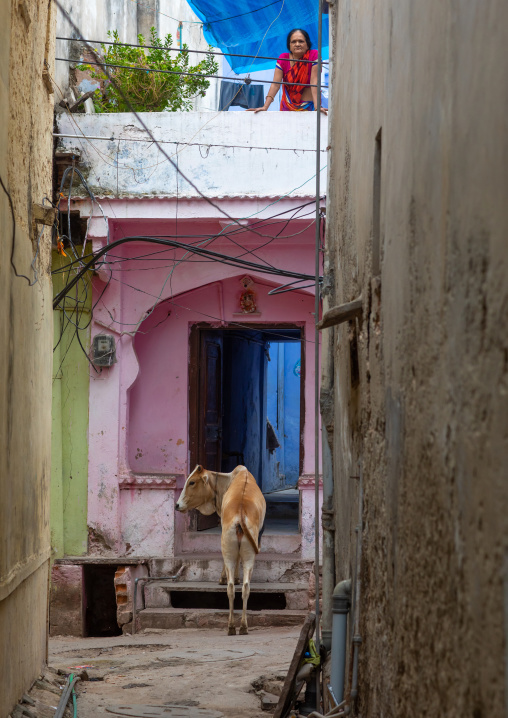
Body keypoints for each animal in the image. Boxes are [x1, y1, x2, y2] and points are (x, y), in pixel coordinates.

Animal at [175, 464, 266, 635]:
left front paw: (226, 578)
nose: (177, 505)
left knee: (236, 587)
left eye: (192, 482)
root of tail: (240, 515)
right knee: (242, 587)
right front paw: (232, 578)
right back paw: (239, 626)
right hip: (247, 552)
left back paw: (235, 626)